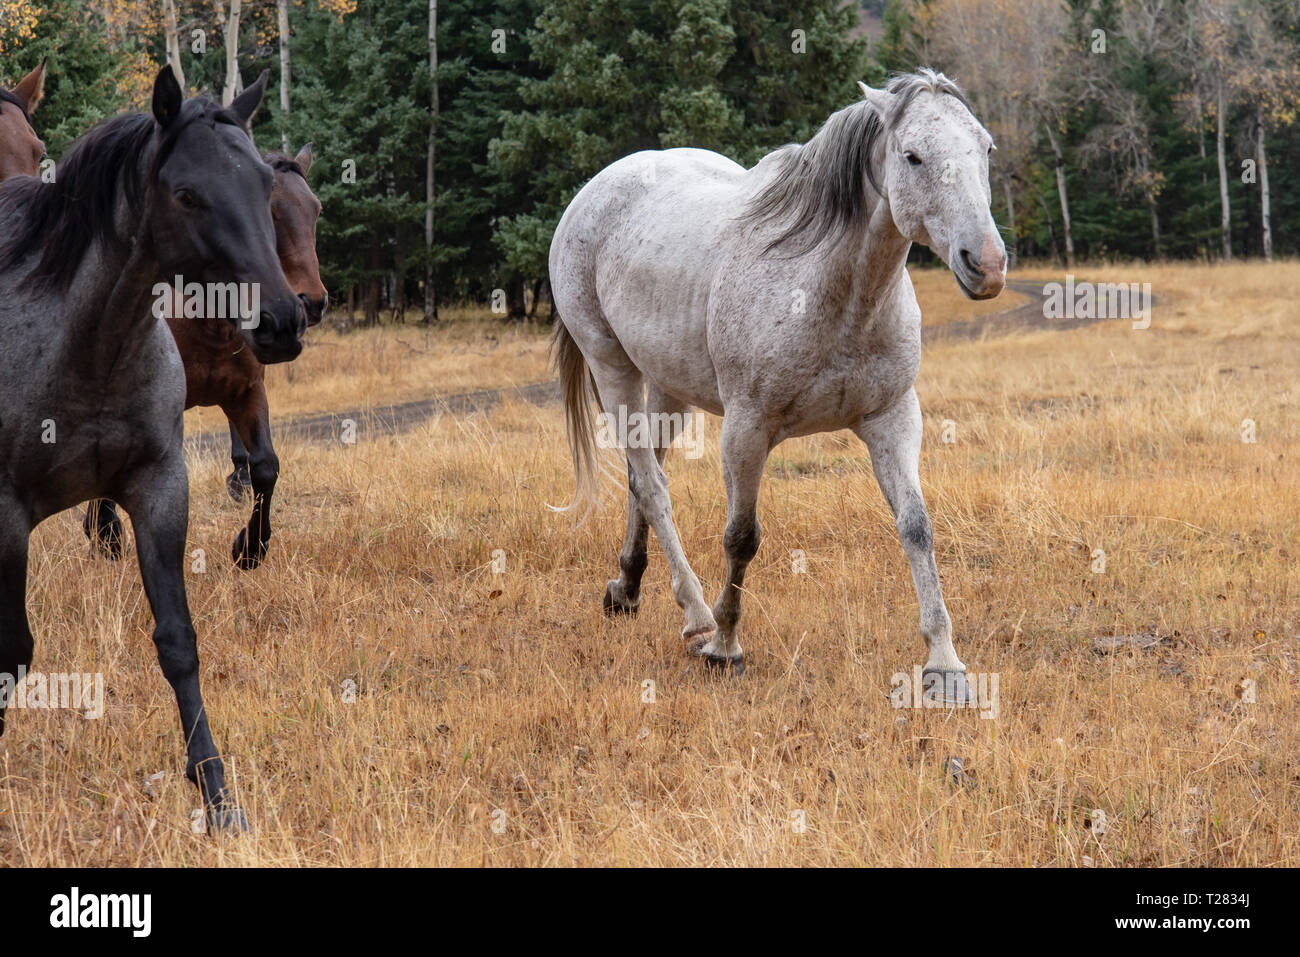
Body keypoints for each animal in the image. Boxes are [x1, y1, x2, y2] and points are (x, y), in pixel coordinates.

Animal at [84, 144, 327, 570]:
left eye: (316, 210)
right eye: (270, 211)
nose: (311, 302)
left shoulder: (247, 391)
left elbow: (266, 465)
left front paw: (250, 547)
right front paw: (106, 530)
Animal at [549, 70, 1006, 694]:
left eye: (985, 149)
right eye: (912, 156)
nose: (986, 265)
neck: (830, 291)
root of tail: (595, 188)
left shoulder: (892, 419)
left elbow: (917, 527)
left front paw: (944, 662)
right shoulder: (747, 429)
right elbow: (742, 536)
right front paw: (725, 647)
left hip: (669, 388)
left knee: (647, 475)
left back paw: (627, 588)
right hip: (611, 365)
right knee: (651, 485)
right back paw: (695, 616)